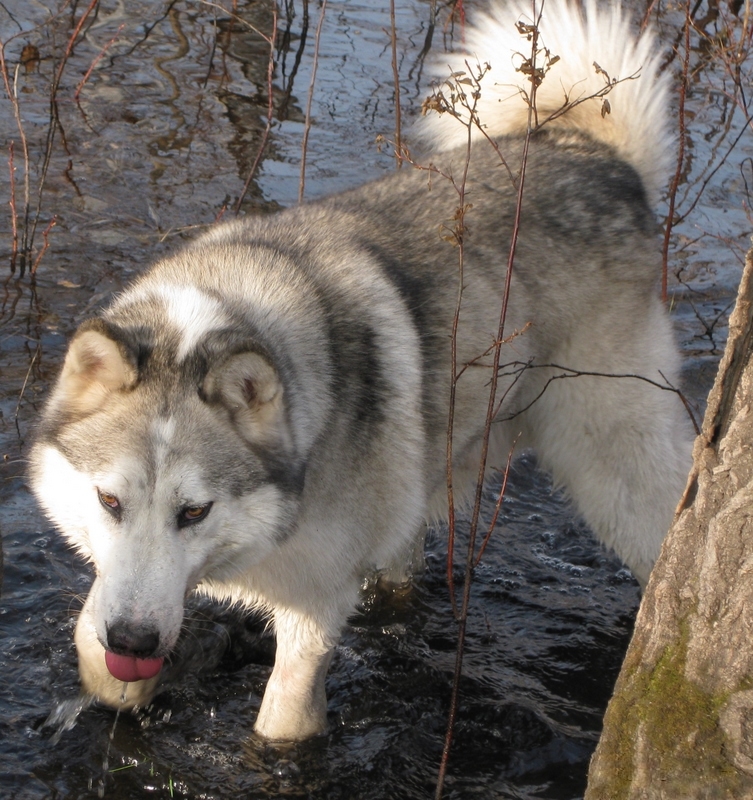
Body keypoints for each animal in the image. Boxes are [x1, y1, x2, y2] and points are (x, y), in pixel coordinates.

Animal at [30, 0, 688, 740]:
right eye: (109, 502)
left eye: (194, 511)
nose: (135, 641)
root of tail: (601, 158)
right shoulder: (124, 588)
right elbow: (91, 634)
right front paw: (119, 688)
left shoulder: (313, 608)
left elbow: (283, 717)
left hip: (614, 474)